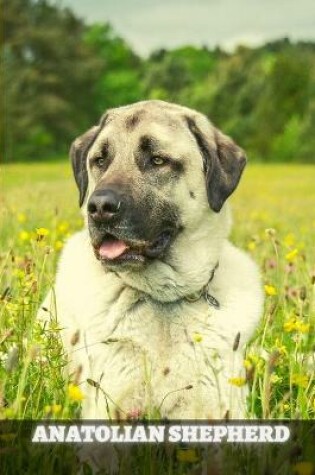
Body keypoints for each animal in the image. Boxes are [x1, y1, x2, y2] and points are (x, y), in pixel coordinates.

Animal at [39, 100, 264, 420]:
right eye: (100, 160)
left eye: (157, 160)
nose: (99, 207)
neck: (164, 299)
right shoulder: (109, 405)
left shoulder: (221, 407)